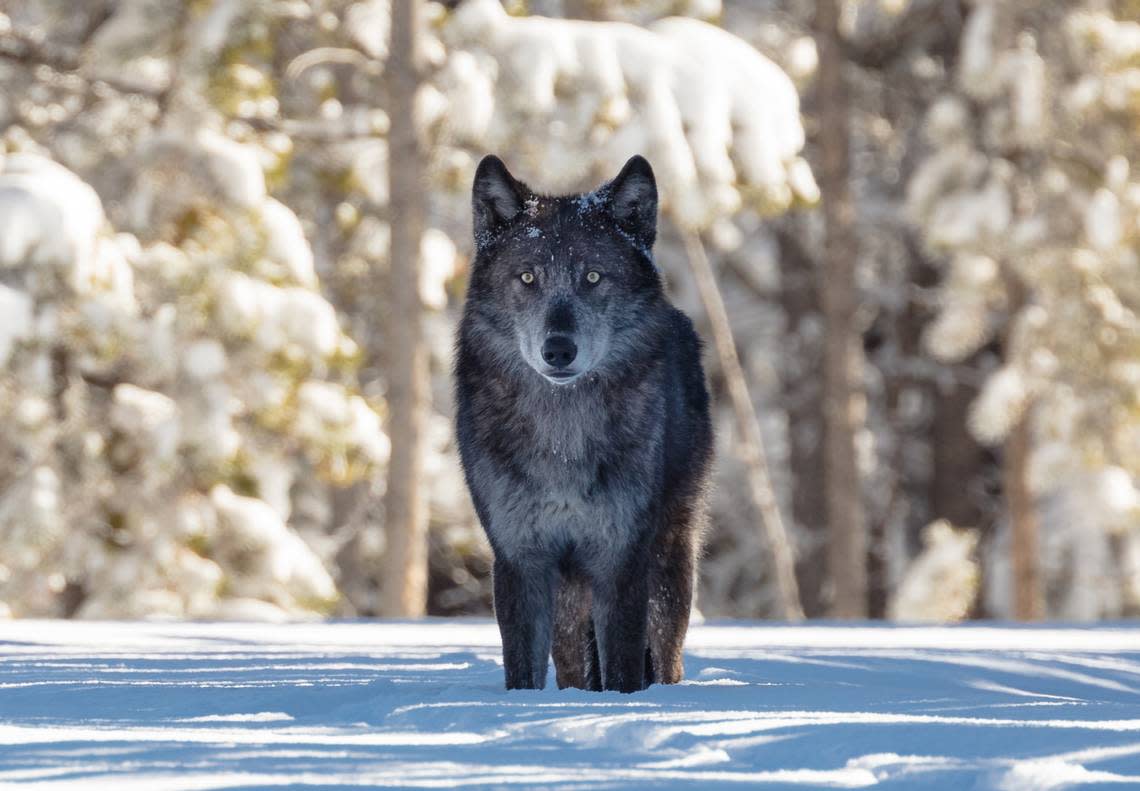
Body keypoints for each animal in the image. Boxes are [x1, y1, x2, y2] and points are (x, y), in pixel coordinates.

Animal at [451, 155, 702, 692]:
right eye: (527, 278)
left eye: (592, 276)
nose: (559, 349)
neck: (562, 439)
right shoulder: (521, 559)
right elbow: (522, 671)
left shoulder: (621, 559)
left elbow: (624, 668)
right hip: (568, 595)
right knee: (571, 667)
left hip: (669, 560)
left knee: (666, 656)